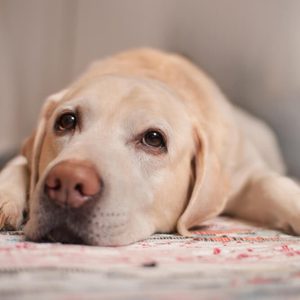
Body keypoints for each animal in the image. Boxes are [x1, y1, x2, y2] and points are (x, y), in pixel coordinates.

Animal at [0, 48, 300, 246]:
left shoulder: (245, 174)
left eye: (154, 139)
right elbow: (18, 164)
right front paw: (7, 196)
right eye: (66, 121)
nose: (67, 182)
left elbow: (273, 184)